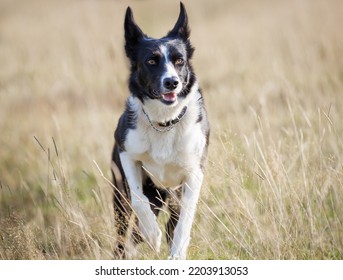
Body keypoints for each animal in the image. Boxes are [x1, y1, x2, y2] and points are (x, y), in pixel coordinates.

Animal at [112, 2, 210, 260]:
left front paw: (177, 253)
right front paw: (152, 235)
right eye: (151, 61)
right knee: (123, 231)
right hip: (121, 195)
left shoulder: (194, 174)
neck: (164, 122)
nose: (172, 82)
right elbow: (138, 200)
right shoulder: (126, 154)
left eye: (179, 60)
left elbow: (185, 220)